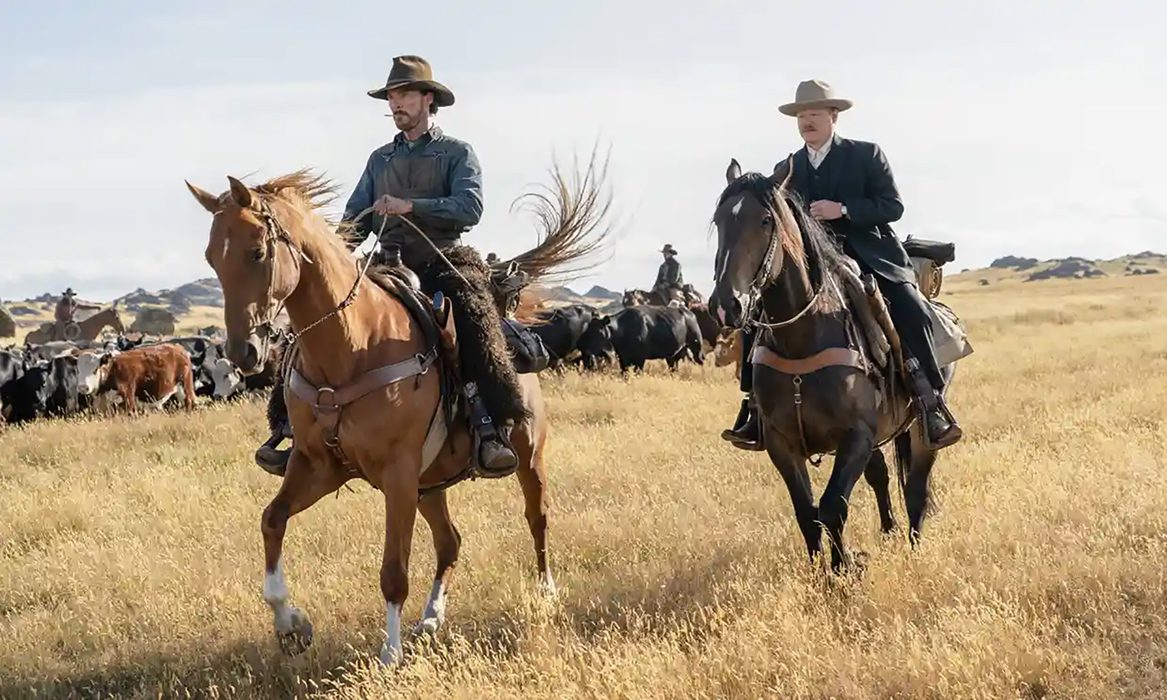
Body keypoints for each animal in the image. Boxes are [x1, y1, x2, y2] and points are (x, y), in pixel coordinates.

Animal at [185, 158, 610, 666]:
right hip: (430, 485)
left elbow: (393, 570)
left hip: (527, 457)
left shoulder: (398, 473)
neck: (353, 345)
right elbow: (272, 521)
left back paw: (545, 593)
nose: (243, 353)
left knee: (537, 518)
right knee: (450, 541)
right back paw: (431, 618)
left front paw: (389, 653)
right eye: (211, 258)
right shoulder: (318, 466)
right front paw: (291, 625)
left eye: (256, 252)